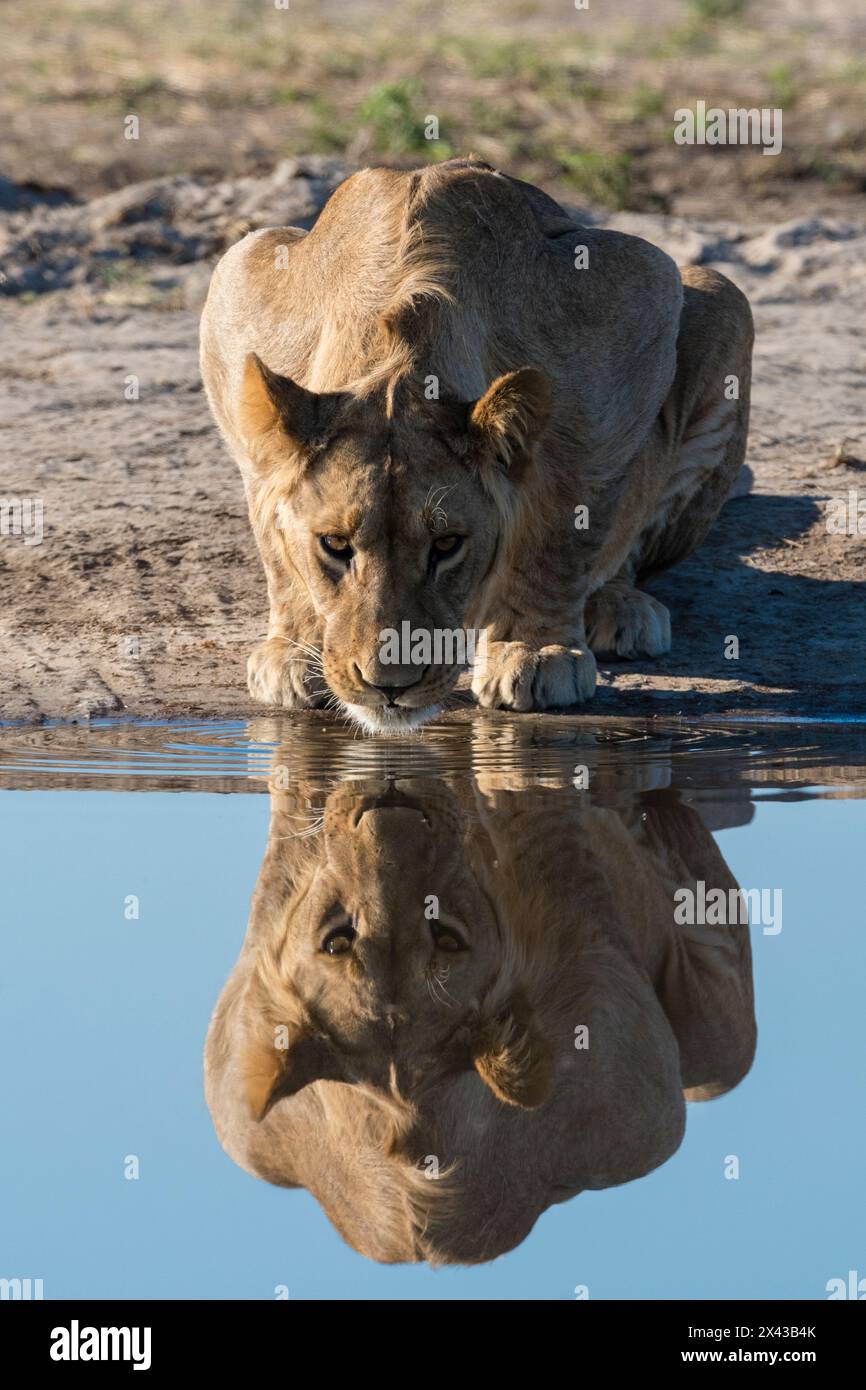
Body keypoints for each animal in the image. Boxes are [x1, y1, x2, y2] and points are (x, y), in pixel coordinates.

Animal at [200, 157, 753, 732]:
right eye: (334, 544)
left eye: (447, 545)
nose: (389, 687)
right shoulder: (238, 286)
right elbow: (272, 533)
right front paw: (293, 649)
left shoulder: (636, 295)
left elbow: (564, 528)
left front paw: (535, 651)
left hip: (722, 297)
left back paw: (621, 609)